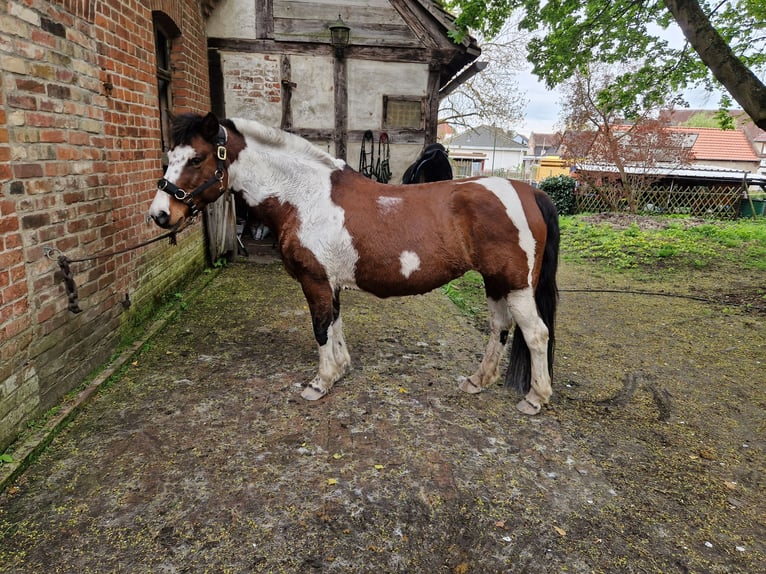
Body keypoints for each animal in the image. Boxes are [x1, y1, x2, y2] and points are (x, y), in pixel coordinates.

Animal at [150, 113, 560, 418]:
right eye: (170, 158)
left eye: (196, 158)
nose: (160, 214)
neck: (304, 196)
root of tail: (529, 191)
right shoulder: (328, 282)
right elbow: (335, 322)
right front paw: (341, 369)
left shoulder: (314, 280)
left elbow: (320, 328)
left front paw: (319, 383)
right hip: (496, 282)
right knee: (500, 328)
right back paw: (479, 380)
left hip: (516, 285)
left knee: (536, 334)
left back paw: (535, 398)